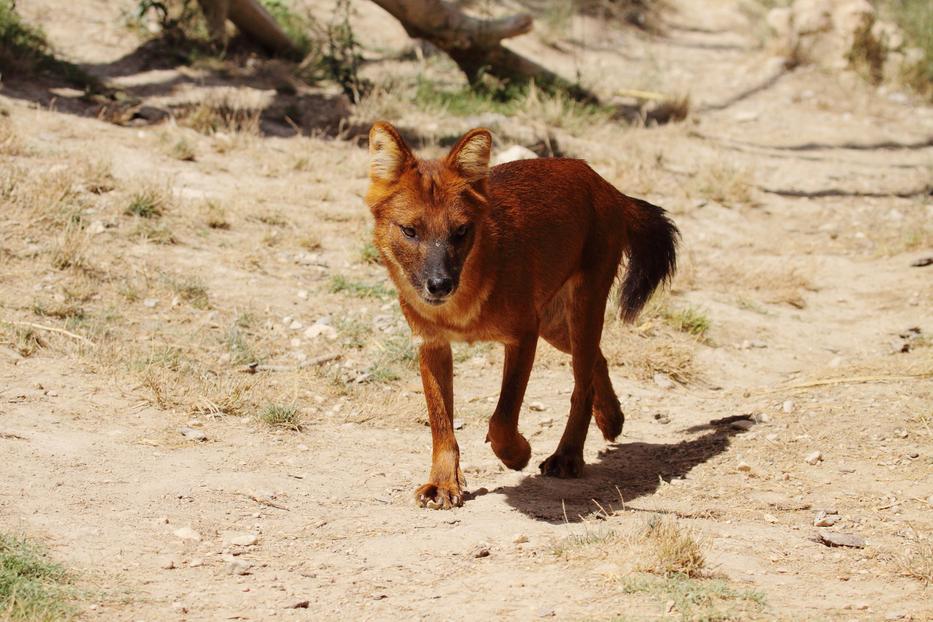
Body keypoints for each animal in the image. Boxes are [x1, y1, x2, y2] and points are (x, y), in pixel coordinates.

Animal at [364, 123, 676, 512]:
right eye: (410, 231)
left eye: (460, 232)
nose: (440, 284)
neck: (460, 305)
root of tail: (606, 185)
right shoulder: (432, 344)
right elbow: (440, 422)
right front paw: (443, 484)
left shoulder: (524, 334)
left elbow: (502, 416)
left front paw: (517, 454)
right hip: (556, 325)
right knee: (597, 361)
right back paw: (611, 418)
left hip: (582, 306)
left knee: (582, 382)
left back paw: (568, 456)